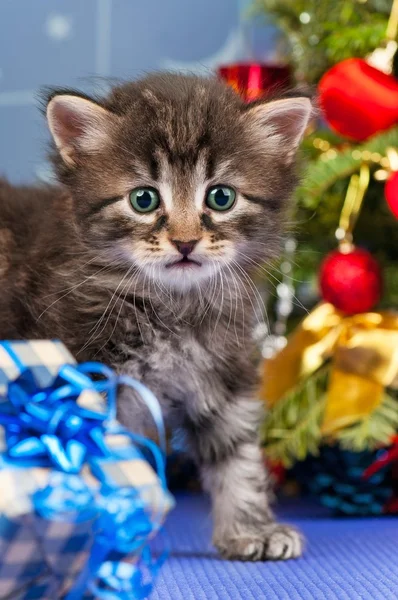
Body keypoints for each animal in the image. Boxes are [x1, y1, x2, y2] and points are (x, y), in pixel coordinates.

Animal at [0, 72, 310, 560]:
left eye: (221, 197)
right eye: (143, 200)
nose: (184, 241)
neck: (171, 308)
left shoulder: (223, 370)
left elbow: (236, 453)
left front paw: (252, 529)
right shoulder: (77, 378)